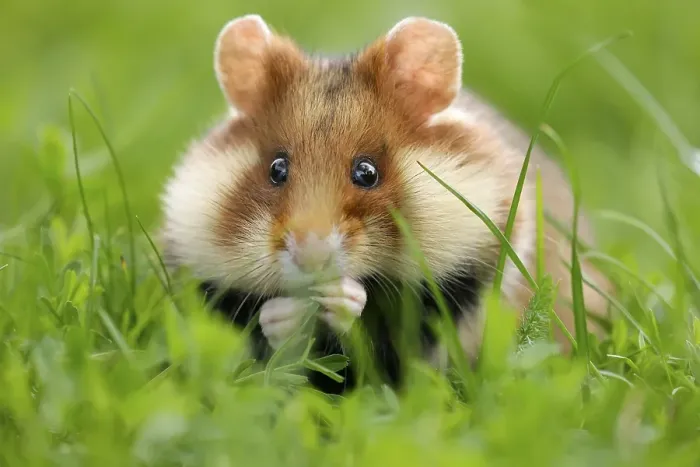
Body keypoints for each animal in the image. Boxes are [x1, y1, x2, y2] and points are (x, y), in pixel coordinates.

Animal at [159, 15, 612, 394]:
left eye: (367, 172)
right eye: (276, 169)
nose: (312, 257)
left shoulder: (461, 287)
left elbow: (388, 325)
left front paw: (342, 298)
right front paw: (283, 315)